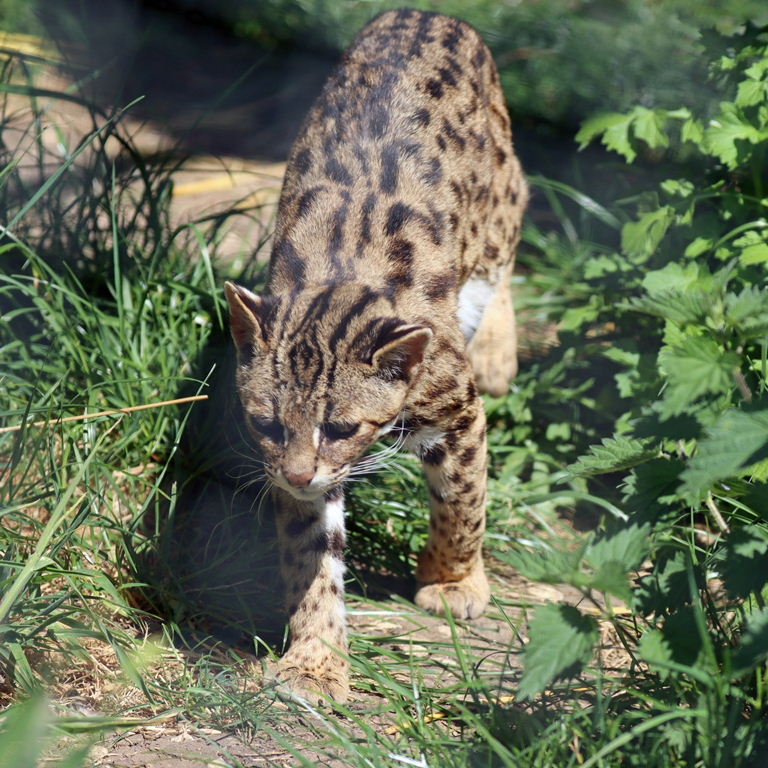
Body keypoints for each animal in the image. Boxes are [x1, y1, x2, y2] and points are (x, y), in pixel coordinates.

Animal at [224, 7, 527, 704]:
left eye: (341, 427)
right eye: (265, 423)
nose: (296, 476)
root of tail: (425, 12)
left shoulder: (456, 408)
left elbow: (464, 502)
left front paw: (453, 581)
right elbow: (311, 557)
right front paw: (315, 659)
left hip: (500, 206)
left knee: (505, 252)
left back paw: (499, 348)